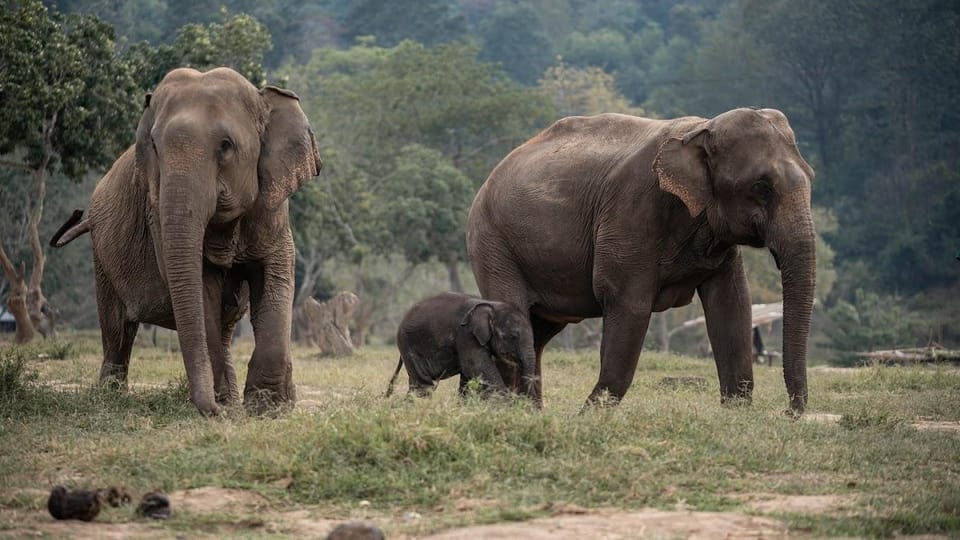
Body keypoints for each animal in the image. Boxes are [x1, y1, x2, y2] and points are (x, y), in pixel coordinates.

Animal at [51, 66, 322, 414]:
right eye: (154, 146)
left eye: (226, 146)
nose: (215, 413)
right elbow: (203, 287)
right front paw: (233, 407)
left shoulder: (273, 208)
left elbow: (272, 277)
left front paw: (268, 409)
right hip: (101, 251)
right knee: (117, 326)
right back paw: (111, 395)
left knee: (224, 325)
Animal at [388, 294, 540, 402]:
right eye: (513, 336)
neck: (491, 305)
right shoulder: (466, 335)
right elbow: (477, 367)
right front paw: (506, 403)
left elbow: (468, 376)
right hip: (409, 344)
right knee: (424, 385)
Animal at [468, 108, 812, 414]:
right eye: (761, 187)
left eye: (811, 176)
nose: (788, 412)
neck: (701, 128)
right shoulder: (631, 212)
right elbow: (630, 305)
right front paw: (589, 418)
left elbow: (732, 303)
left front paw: (736, 416)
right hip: (493, 244)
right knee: (514, 317)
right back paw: (510, 412)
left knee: (538, 332)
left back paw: (530, 413)